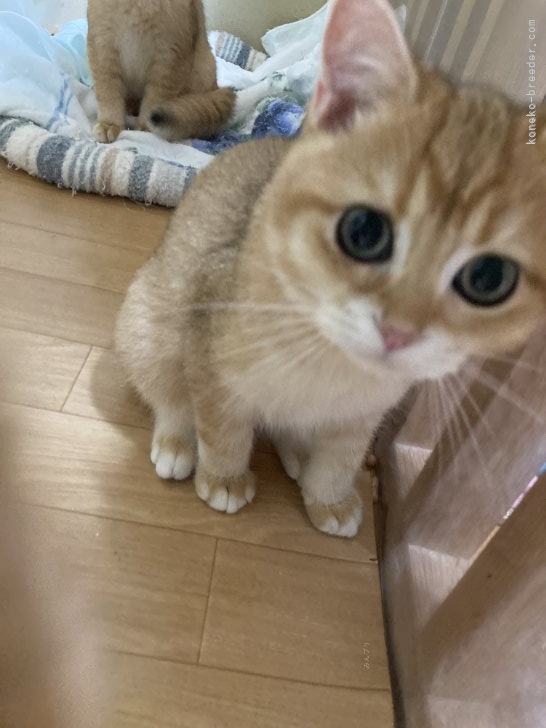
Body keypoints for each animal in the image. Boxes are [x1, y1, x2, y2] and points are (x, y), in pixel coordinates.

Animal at [87, 0, 235, 143]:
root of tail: (216, 88)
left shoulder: (168, 57)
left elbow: (155, 100)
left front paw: (146, 128)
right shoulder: (102, 46)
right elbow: (108, 94)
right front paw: (109, 124)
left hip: (204, 67)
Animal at [115, 0, 546, 538]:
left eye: (488, 279)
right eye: (363, 231)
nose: (399, 332)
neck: (331, 358)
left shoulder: (361, 416)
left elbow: (340, 459)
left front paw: (329, 498)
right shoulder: (209, 356)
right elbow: (220, 426)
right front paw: (223, 477)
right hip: (146, 321)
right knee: (166, 388)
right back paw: (176, 441)